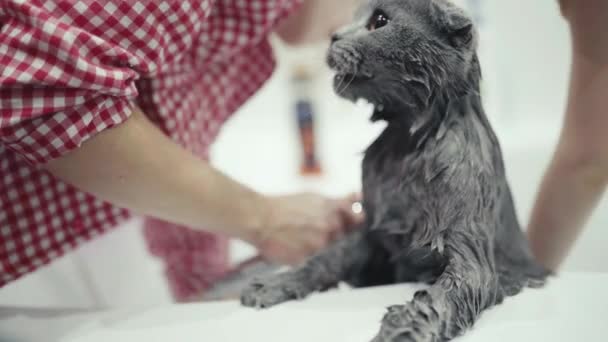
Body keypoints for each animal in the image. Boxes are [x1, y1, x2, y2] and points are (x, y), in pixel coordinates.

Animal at [240, 1, 548, 340]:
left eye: (379, 20)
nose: (334, 37)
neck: (406, 146)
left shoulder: (471, 259)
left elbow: (435, 302)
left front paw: (400, 329)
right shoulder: (374, 233)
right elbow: (325, 258)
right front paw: (276, 282)